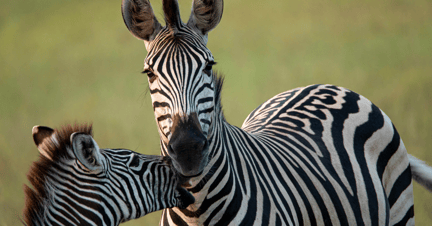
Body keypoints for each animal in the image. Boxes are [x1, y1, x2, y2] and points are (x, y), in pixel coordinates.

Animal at [120, 0, 432, 225]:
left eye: (209, 66)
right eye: (149, 73)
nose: (188, 150)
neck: (197, 209)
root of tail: (324, 85)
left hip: (400, 210)